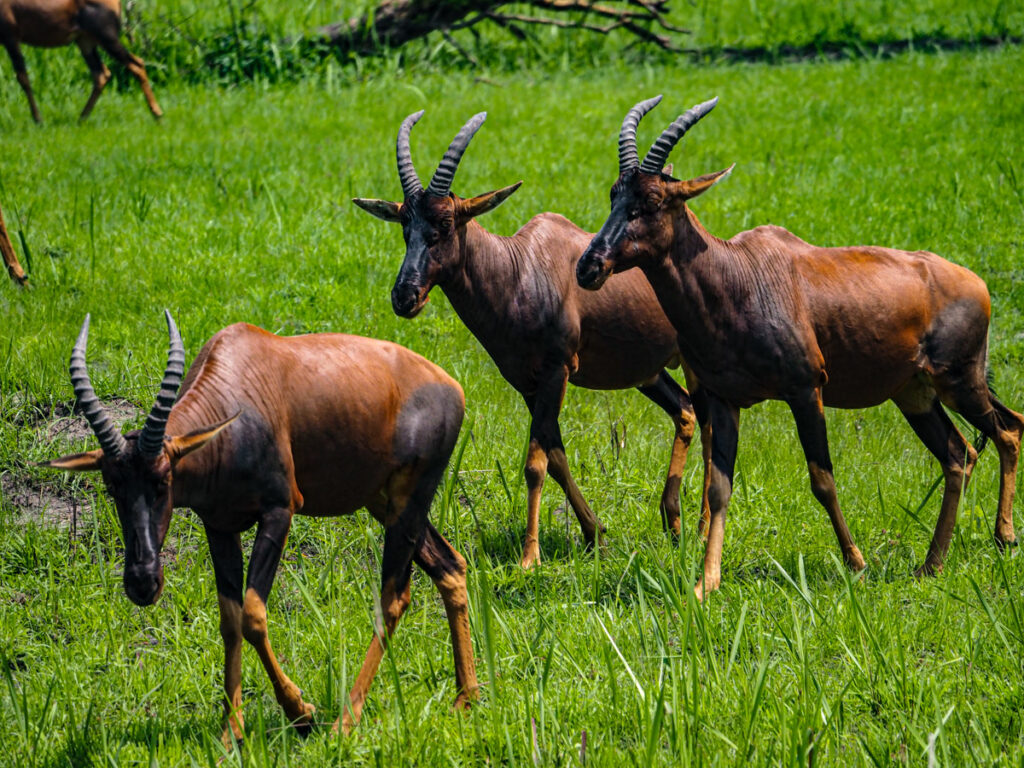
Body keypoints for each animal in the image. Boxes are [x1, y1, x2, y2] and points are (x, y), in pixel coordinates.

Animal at [1, 0, 160, 122]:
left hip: (107, 38)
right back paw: (81, 119)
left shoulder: (11, 37)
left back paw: (157, 114)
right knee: (102, 74)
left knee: (137, 64)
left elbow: (23, 78)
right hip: (85, 42)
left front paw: (38, 120)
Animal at [41, 313, 481, 745]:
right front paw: (229, 733)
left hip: (410, 499)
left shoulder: (279, 511)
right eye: (112, 484)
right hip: (383, 501)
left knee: (394, 596)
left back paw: (345, 721)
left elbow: (253, 614)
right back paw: (466, 698)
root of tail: (452, 386)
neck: (234, 388)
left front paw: (301, 714)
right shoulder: (219, 527)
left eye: (164, 478)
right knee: (451, 565)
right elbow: (230, 619)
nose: (143, 583)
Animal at [354, 109, 712, 573]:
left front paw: (529, 558)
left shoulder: (558, 371)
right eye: (404, 224)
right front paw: (595, 536)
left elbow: (535, 463)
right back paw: (673, 523)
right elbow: (555, 456)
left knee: (710, 423)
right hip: (648, 373)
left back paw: (702, 527)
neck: (519, 269)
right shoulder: (527, 383)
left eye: (446, 223)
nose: (405, 296)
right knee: (685, 411)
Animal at [581, 94, 1019, 602]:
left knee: (1008, 431)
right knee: (959, 455)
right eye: (614, 194)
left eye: (652, 201)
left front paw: (857, 563)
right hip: (915, 394)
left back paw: (1003, 538)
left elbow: (822, 479)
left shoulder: (806, 390)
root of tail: (976, 282)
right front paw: (705, 584)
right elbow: (719, 488)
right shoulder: (725, 401)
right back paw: (931, 565)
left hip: (960, 381)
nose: (589, 267)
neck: (738, 274)